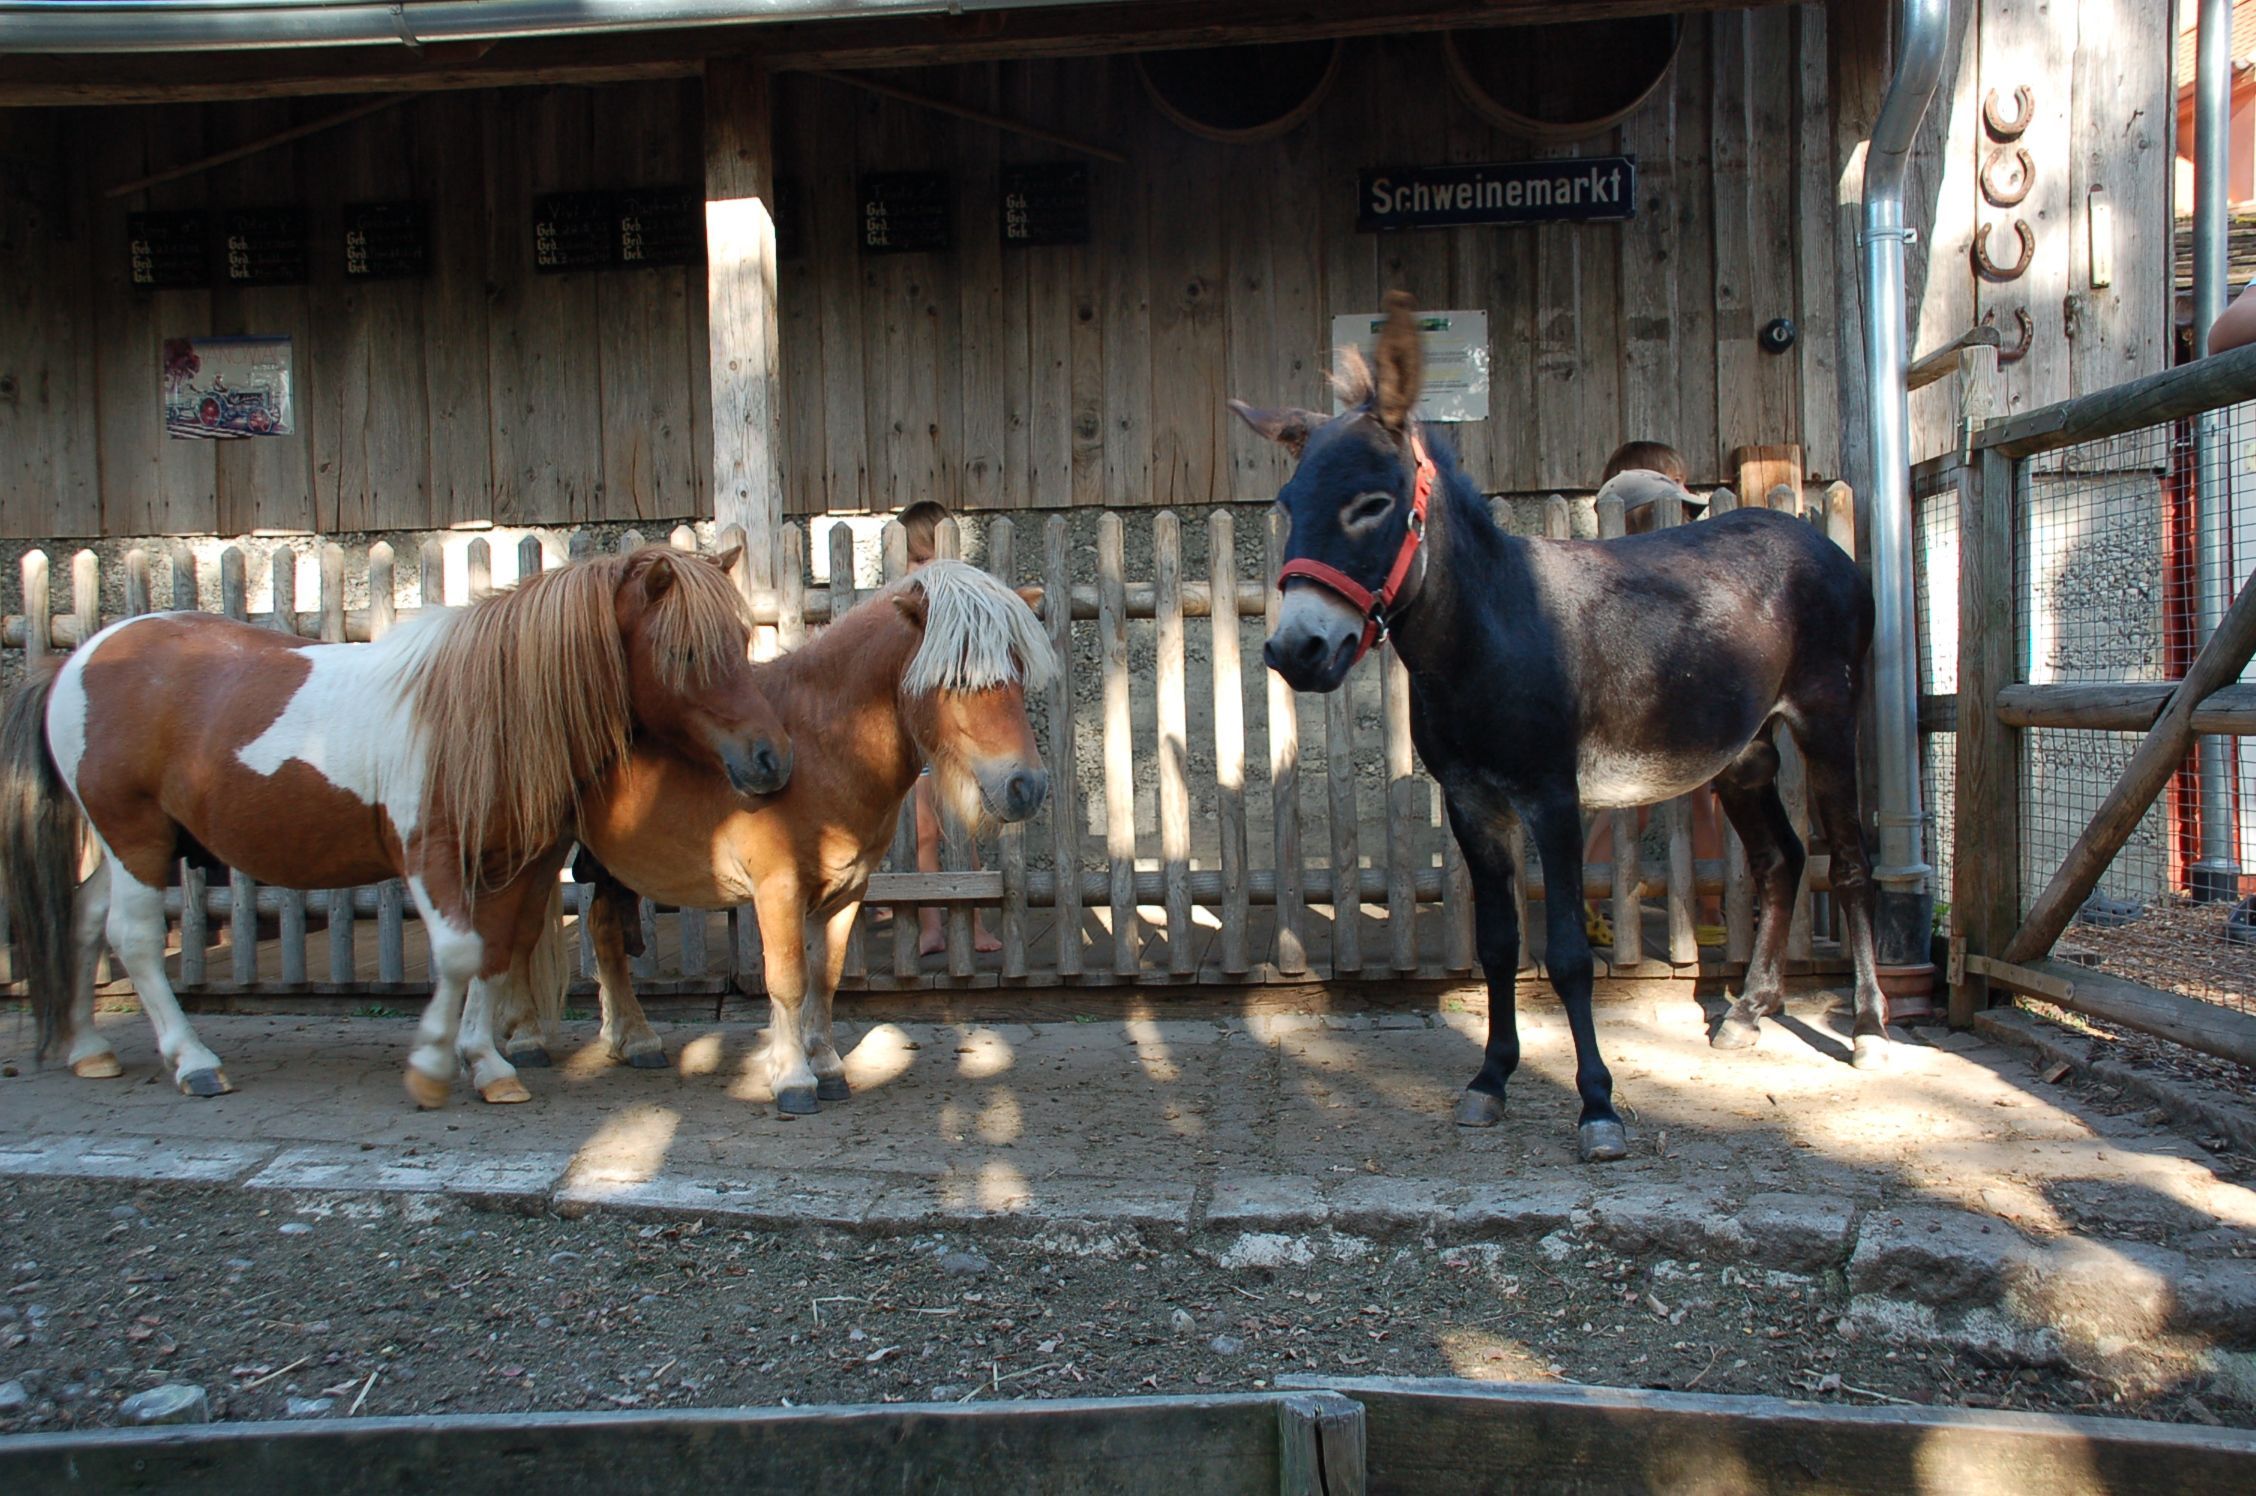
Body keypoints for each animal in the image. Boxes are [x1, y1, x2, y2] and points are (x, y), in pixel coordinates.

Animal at [0, 545, 792, 1109]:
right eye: (684, 653)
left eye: (739, 638)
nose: (770, 759)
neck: (482, 713)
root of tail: (78, 657)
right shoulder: (429, 857)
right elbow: (460, 955)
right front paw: (434, 1065)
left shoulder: (513, 864)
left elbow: (495, 953)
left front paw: (488, 1064)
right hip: (136, 836)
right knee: (133, 938)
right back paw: (193, 1061)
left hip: (127, 844)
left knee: (83, 923)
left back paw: (88, 1049)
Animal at [499, 558, 1052, 1115]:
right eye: (955, 678)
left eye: (1018, 671)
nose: (1026, 786)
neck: (818, 747)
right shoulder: (778, 889)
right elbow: (788, 982)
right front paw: (793, 1078)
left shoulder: (848, 893)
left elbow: (825, 980)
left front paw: (827, 1066)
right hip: (534, 854)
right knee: (517, 935)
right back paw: (523, 1041)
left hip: (619, 864)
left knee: (604, 933)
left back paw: (634, 1040)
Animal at [1235, 292, 1886, 1164]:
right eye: (1287, 509)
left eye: (1372, 505)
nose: (1293, 651)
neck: (1488, 633)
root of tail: (1812, 534)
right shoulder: (1474, 804)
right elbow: (1499, 943)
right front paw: (1490, 1081)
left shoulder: (1554, 799)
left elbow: (1572, 954)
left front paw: (1597, 1107)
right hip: (1741, 752)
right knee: (1781, 859)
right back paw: (1749, 1013)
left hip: (1826, 721)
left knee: (1846, 862)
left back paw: (1873, 1030)